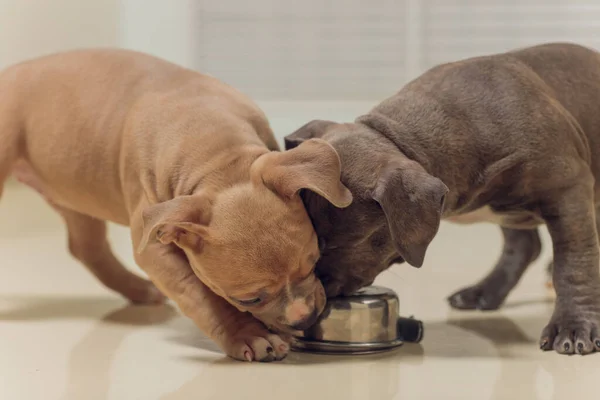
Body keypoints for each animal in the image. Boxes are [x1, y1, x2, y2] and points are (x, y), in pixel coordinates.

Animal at [284, 43, 600, 356]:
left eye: (335, 245)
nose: (312, 290)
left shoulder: (569, 191)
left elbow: (574, 263)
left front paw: (574, 325)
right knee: (524, 245)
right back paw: (485, 292)